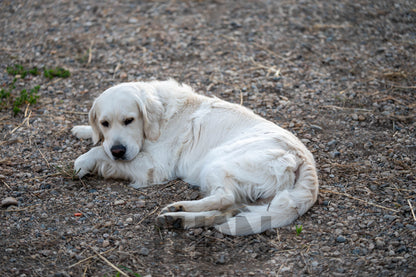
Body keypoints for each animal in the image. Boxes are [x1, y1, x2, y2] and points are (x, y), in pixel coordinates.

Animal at [72, 79, 318, 235]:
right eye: (105, 123)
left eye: (129, 120)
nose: (118, 151)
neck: (159, 117)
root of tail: (303, 158)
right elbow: (99, 141)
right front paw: (83, 130)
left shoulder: (153, 167)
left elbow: (98, 152)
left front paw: (83, 162)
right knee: (229, 210)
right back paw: (178, 219)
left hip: (217, 163)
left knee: (225, 198)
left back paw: (178, 208)